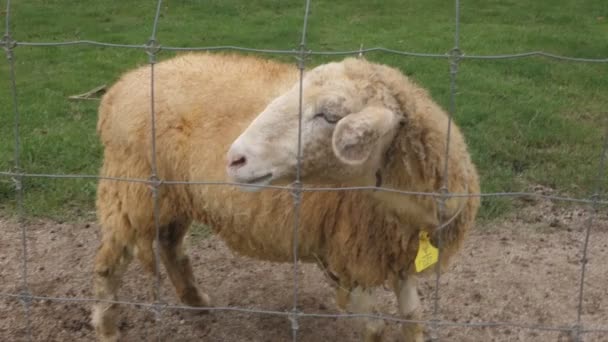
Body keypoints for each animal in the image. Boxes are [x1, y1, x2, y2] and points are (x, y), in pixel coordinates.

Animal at [92, 51, 480, 342]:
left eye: (330, 116)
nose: (234, 159)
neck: (408, 213)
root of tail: (125, 83)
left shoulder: (400, 253)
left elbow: (413, 318)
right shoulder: (346, 259)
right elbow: (375, 329)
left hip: (174, 194)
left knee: (170, 245)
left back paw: (196, 300)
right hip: (132, 188)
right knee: (111, 260)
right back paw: (107, 326)